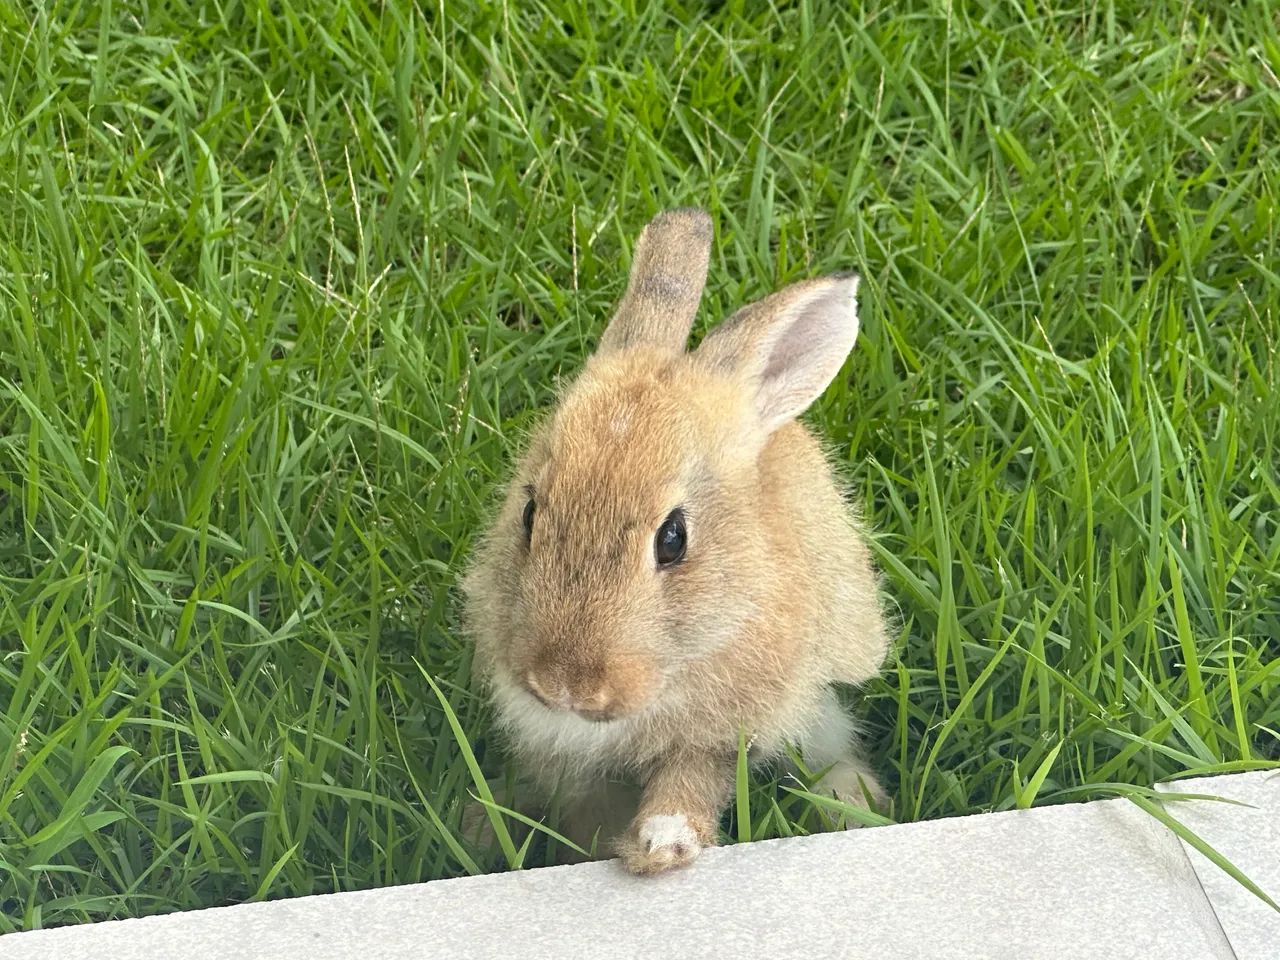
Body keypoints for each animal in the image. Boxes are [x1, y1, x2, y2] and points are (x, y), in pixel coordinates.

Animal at [462, 207, 890, 875]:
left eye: (673, 539)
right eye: (529, 512)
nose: (566, 685)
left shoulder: (723, 734)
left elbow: (687, 785)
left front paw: (659, 849)